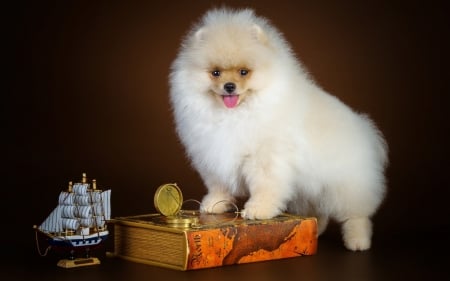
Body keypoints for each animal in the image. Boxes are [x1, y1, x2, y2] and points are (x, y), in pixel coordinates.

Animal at [169, 8, 386, 249]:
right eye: (215, 73)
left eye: (244, 72)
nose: (229, 86)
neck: (235, 114)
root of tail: (366, 129)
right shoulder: (212, 154)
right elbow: (219, 184)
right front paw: (215, 203)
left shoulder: (265, 158)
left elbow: (264, 186)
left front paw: (258, 210)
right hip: (311, 189)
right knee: (319, 209)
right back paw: (316, 229)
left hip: (346, 186)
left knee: (356, 215)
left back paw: (357, 241)